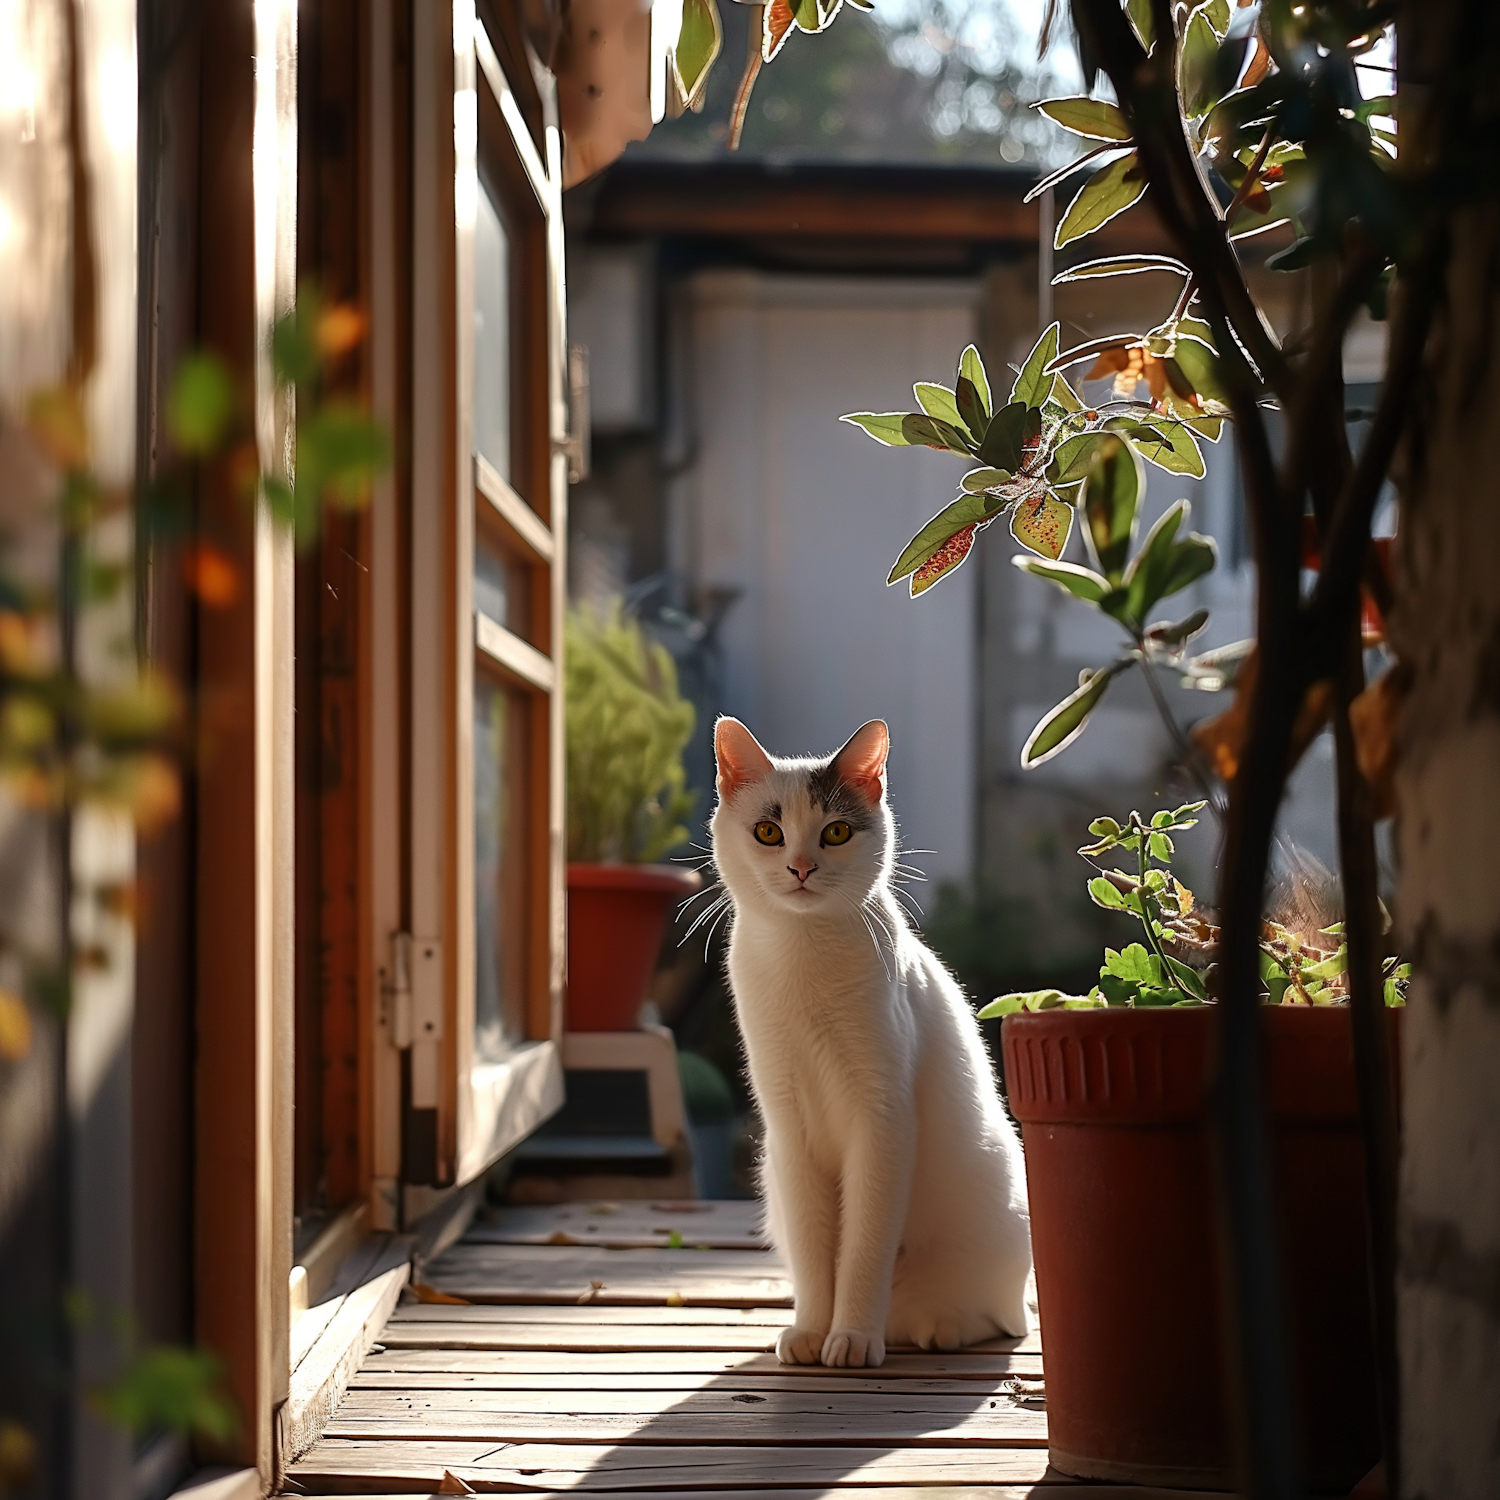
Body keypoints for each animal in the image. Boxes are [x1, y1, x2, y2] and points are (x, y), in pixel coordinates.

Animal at [711, 717, 1038, 1374]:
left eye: (835, 832)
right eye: (768, 832)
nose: (802, 867)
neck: (803, 954)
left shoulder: (882, 1121)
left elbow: (862, 1248)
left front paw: (852, 1338)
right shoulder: (788, 1127)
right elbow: (817, 1253)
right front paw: (812, 1332)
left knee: (998, 1316)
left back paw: (938, 1327)